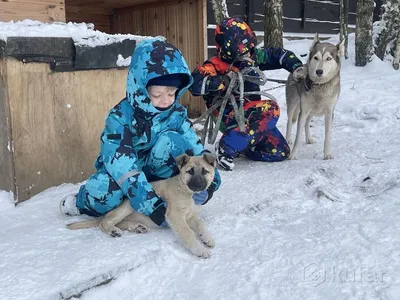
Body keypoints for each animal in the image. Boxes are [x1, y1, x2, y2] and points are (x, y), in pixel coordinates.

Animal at [66, 154, 216, 258]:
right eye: (190, 171)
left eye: (205, 171)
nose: (198, 185)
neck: (188, 193)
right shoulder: (175, 215)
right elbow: (188, 233)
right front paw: (199, 249)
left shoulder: (190, 216)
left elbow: (201, 223)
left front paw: (207, 237)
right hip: (129, 205)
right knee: (104, 222)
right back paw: (113, 230)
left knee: (118, 222)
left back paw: (137, 227)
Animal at [286, 33, 346, 161]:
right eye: (316, 58)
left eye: (328, 58)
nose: (319, 71)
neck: (319, 86)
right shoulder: (303, 111)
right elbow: (298, 136)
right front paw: (293, 154)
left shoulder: (329, 112)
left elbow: (327, 136)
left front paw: (327, 153)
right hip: (293, 106)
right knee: (289, 121)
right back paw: (288, 139)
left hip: (311, 111)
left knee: (307, 122)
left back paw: (308, 138)